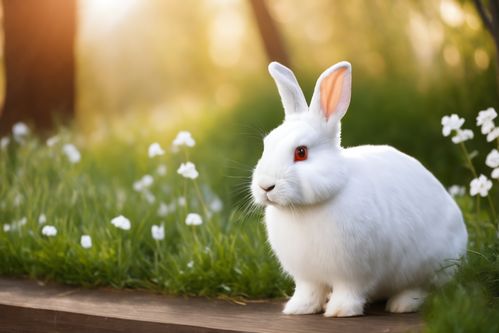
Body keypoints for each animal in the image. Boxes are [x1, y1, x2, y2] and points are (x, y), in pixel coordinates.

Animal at [254, 60, 468, 316]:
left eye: (301, 152)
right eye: (266, 145)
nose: (265, 186)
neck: (306, 208)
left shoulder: (354, 272)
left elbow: (349, 291)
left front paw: (339, 311)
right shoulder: (307, 277)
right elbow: (309, 291)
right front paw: (298, 308)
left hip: (428, 266)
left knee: (421, 288)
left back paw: (402, 304)